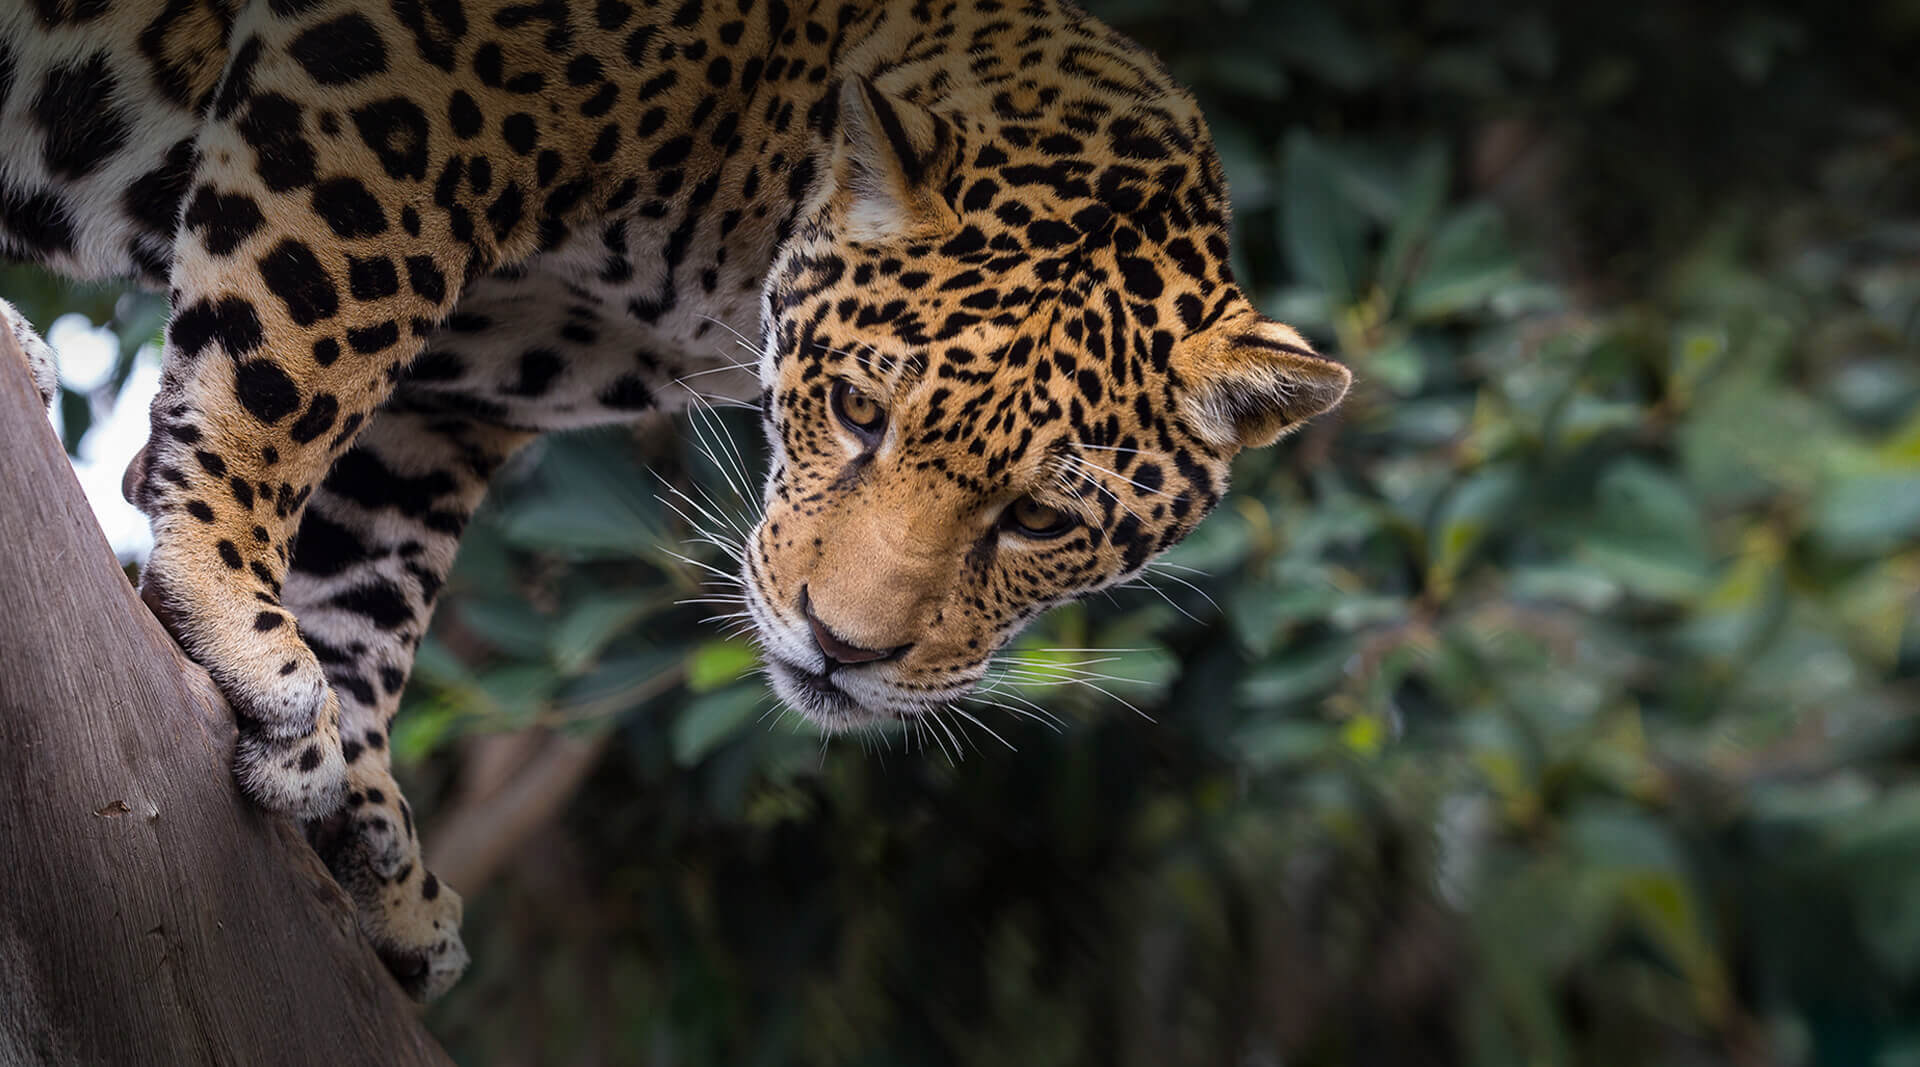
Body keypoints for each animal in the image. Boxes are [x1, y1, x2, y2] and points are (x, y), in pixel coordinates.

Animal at [0, 0, 1350, 1001]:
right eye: (859, 410)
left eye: (1040, 520)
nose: (843, 649)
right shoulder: (398, 85)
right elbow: (302, 328)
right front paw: (225, 589)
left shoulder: (454, 394)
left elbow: (374, 569)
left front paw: (364, 821)